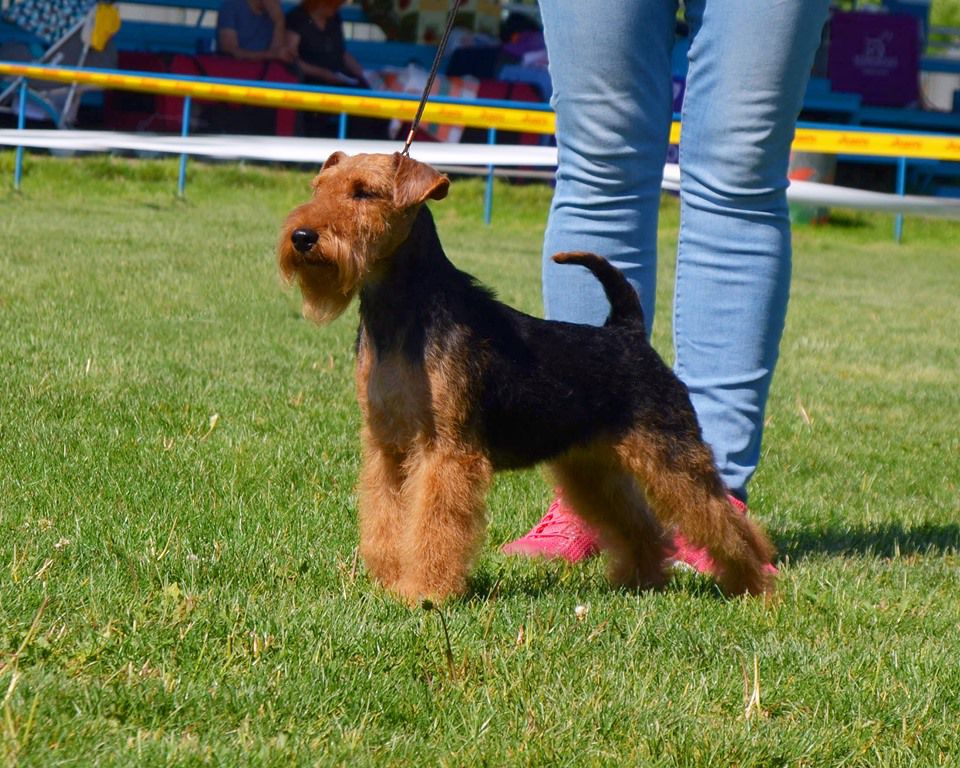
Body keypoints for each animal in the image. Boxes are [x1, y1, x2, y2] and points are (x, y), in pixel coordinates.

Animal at [276, 152, 772, 608]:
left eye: (364, 192)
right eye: (319, 187)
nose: (302, 237)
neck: (400, 316)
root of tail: (626, 330)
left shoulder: (446, 452)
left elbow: (434, 525)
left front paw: (425, 591)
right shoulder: (388, 446)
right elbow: (386, 519)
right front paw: (388, 582)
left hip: (672, 456)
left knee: (727, 523)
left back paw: (754, 585)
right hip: (591, 466)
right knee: (642, 526)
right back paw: (642, 580)